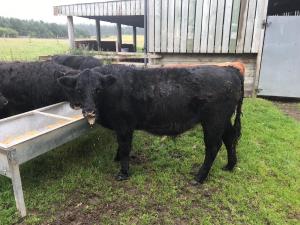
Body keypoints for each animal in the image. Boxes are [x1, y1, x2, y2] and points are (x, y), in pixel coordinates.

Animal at [58, 64, 244, 184]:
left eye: (98, 89)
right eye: (79, 89)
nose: (89, 111)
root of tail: (229, 69)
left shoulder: (124, 125)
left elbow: (125, 147)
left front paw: (123, 173)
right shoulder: (121, 127)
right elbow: (120, 146)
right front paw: (116, 159)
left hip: (214, 120)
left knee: (213, 146)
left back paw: (199, 178)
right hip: (224, 119)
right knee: (229, 138)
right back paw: (230, 165)